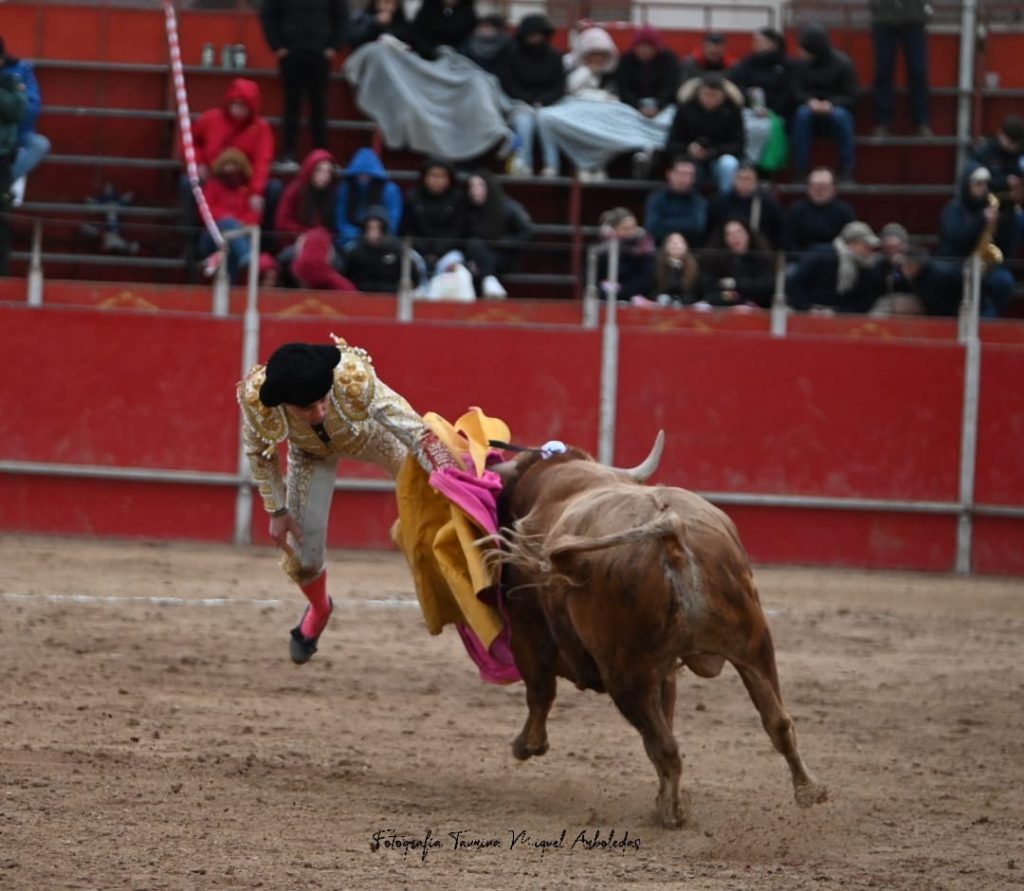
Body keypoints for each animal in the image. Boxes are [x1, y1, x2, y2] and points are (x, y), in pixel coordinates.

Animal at [491, 440, 827, 831]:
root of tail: (671, 532)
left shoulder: (526, 628)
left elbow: (540, 690)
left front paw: (528, 744)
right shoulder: (666, 669)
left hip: (626, 676)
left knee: (663, 745)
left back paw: (671, 812)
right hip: (753, 645)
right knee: (777, 723)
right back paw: (808, 790)